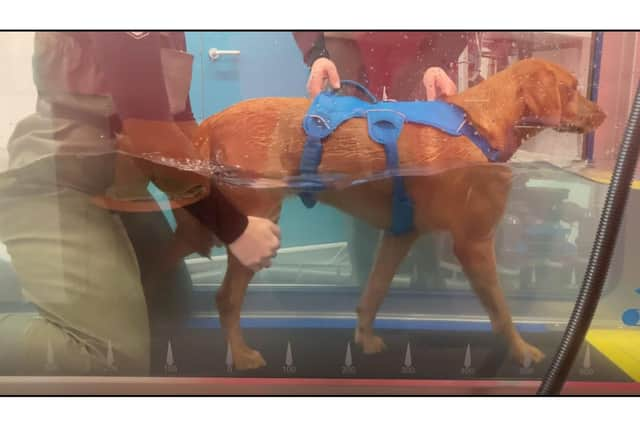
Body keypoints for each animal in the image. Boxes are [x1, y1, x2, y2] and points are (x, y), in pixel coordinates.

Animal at [195, 57, 604, 372]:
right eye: (572, 88)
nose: (603, 114)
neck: (478, 126)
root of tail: (211, 121)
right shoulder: (473, 242)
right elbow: (502, 310)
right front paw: (521, 351)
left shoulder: (399, 234)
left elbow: (374, 292)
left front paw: (365, 339)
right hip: (257, 224)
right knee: (226, 299)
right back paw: (241, 356)